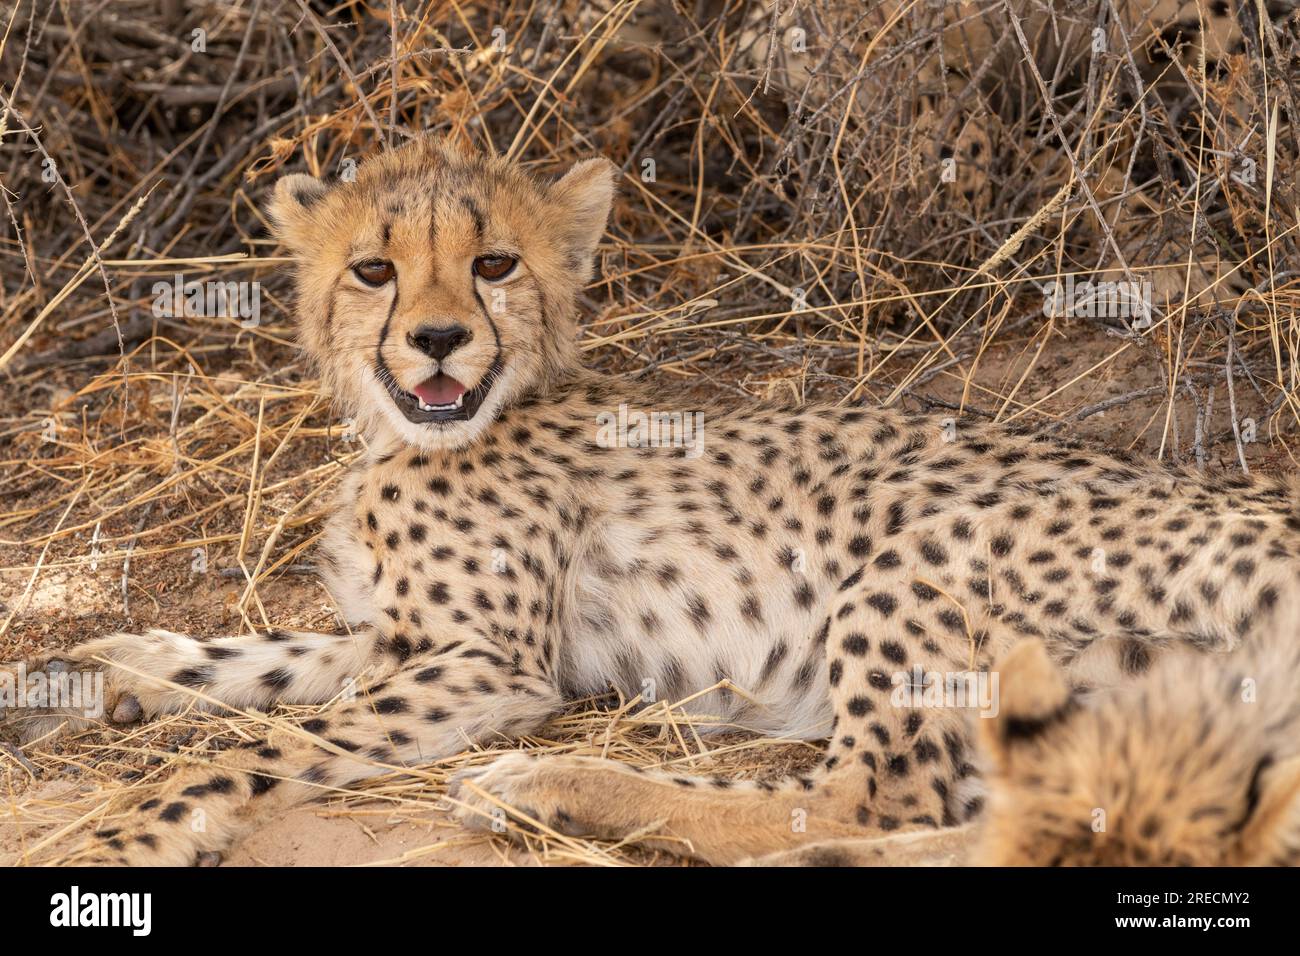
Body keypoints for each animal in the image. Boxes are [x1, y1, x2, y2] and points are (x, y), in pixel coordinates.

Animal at [5, 134, 1294, 868]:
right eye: (373, 268)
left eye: (494, 265)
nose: (437, 340)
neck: (424, 429)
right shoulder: (401, 636)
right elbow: (259, 657)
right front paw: (97, 667)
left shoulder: (490, 661)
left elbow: (268, 734)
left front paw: (145, 819)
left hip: (925, 556)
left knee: (858, 797)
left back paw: (551, 787)